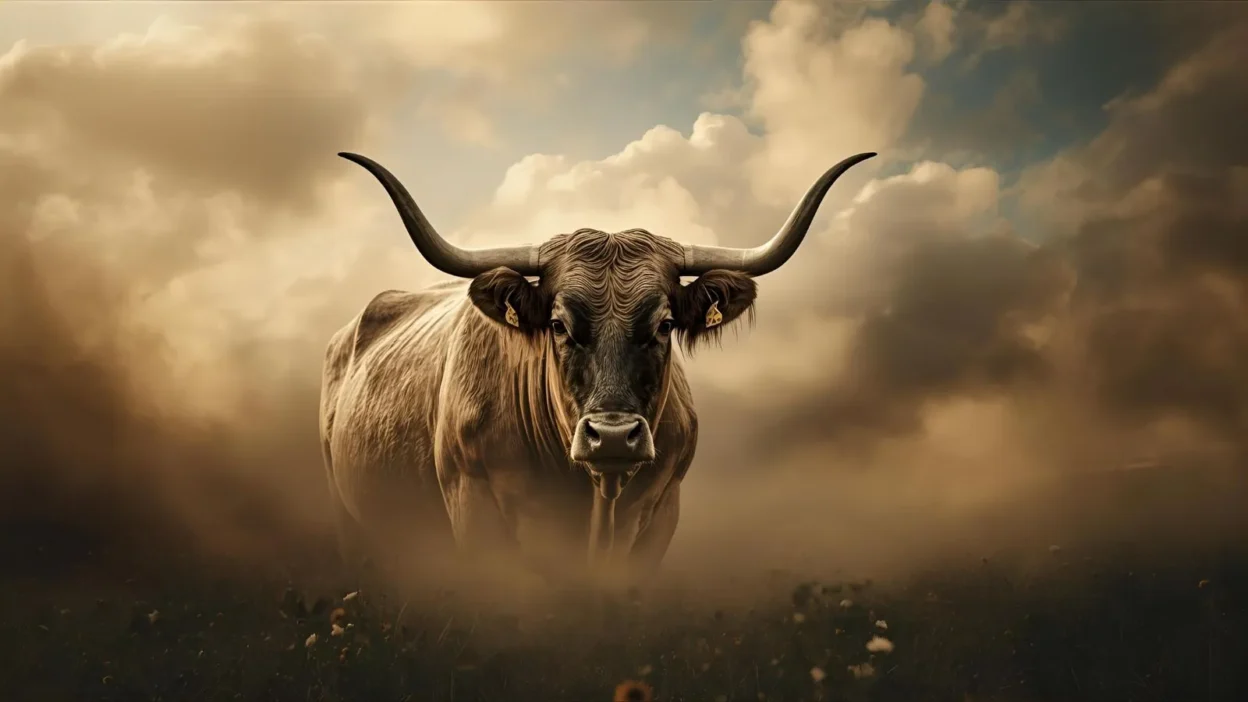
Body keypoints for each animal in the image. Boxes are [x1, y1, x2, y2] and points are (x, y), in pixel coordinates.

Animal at [320, 150, 875, 585]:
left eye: (665, 324)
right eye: (558, 324)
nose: (612, 436)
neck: (593, 501)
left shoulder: (659, 516)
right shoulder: (475, 511)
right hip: (353, 528)